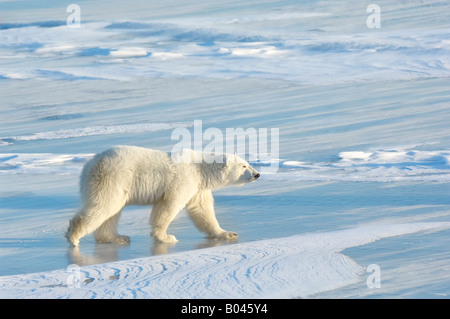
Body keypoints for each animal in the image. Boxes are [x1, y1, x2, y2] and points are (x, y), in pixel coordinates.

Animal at [65, 146, 258, 246]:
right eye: (244, 166)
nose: (257, 174)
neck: (200, 168)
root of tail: (88, 165)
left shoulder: (198, 187)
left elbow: (202, 211)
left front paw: (227, 233)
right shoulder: (183, 180)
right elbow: (169, 205)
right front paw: (165, 237)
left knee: (111, 212)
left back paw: (117, 237)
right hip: (113, 178)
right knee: (104, 206)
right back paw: (74, 236)